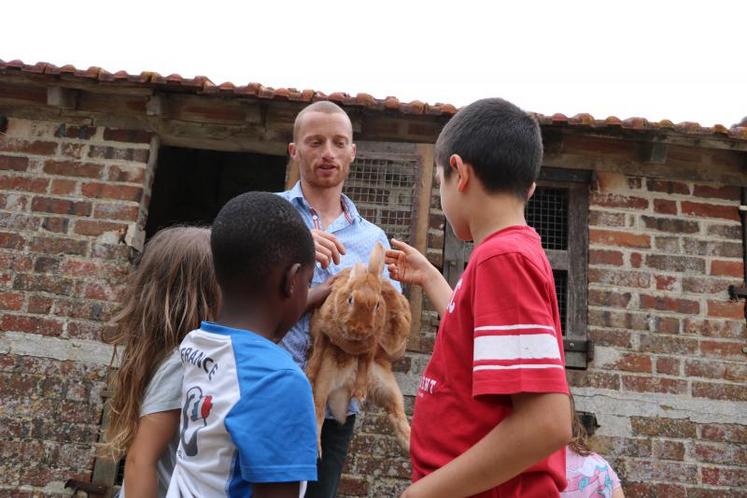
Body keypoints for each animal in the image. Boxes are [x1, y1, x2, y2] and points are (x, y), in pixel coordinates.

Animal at [306, 239, 414, 454]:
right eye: (350, 299)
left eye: (378, 305)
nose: (359, 330)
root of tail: (344, 386)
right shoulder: (322, 327)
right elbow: (319, 348)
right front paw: (310, 371)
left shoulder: (372, 347)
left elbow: (364, 362)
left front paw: (361, 391)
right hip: (323, 384)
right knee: (318, 411)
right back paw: (317, 450)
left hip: (387, 387)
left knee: (397, 413)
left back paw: (411, 444)